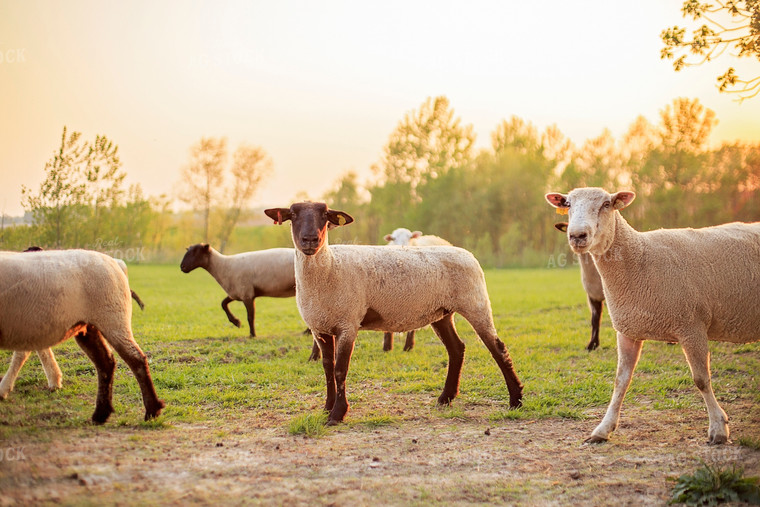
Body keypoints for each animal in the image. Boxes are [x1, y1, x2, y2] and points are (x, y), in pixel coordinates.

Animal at [0, 248, 165, 422]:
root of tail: (116, 262)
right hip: (88, 325)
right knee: (105, 362)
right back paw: (101, 414)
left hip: (113, 317)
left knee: (136, 359)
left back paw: (152, 410)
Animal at [262, 201, 524, 424]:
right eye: (292, 214)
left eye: (325, 215)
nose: (310, 240)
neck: (330, 266)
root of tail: (465, 253)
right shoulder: (321, 327)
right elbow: (327, 368)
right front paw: (327, 408)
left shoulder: (348, 324)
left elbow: (340, 370)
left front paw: (337, 414)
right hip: (442, 313)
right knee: (456, 349)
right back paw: (445, 398)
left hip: (476, 302)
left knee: (497, 348)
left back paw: (516, 400)